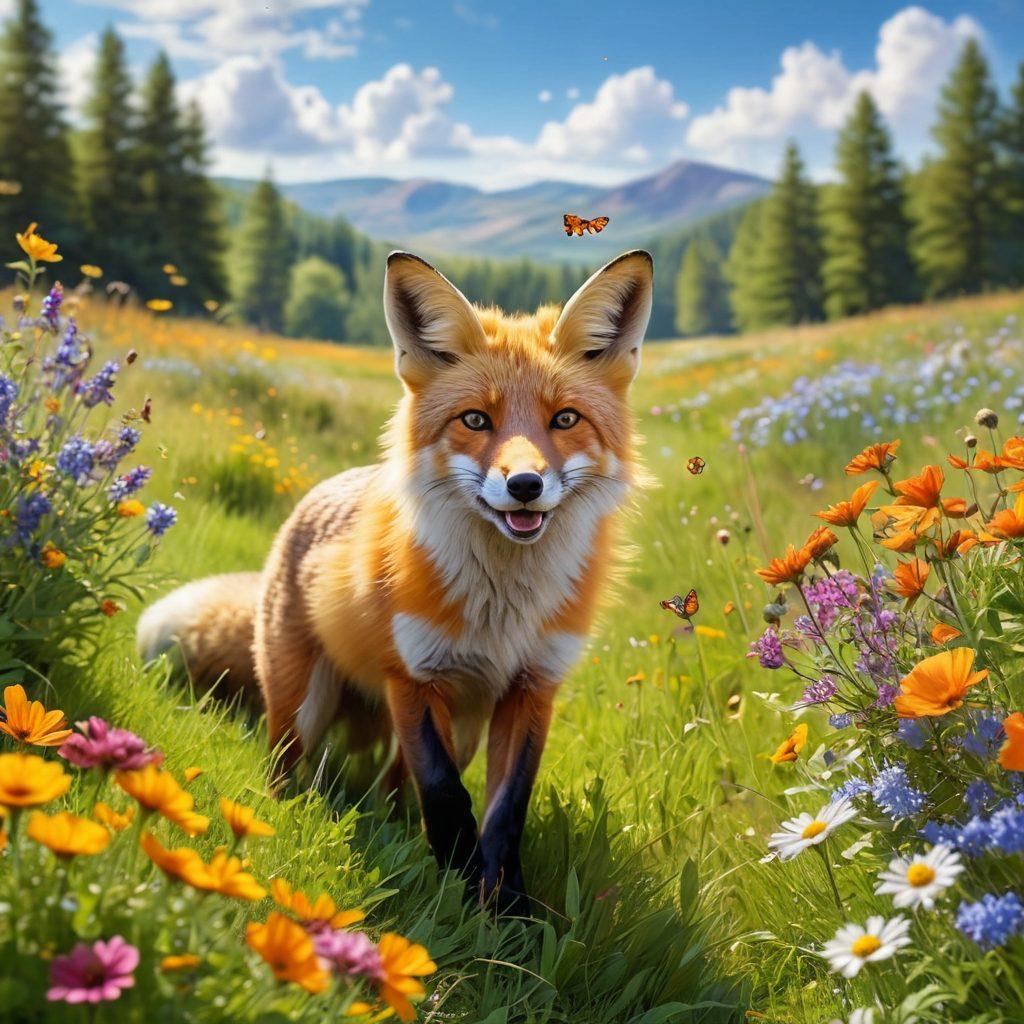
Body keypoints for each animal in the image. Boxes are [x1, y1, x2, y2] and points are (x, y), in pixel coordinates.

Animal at [137, 248, 654, 911]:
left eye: (565, 419)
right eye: (475, 419)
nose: (525, 485)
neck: (502, 608)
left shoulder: (532, 688)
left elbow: (503, 812)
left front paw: (505, 909)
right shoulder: (413, 676)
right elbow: (447, 798)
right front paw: (461, 897)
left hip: (462, 722)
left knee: (390, 784)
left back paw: (395, 829)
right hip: (303, 701)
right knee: (288, 766)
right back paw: (288, 814)